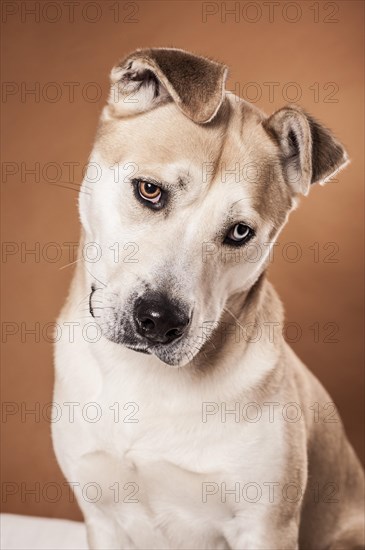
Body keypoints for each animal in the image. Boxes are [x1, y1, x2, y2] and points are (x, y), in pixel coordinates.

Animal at [52, 49, 364, 548]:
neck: (145, 380)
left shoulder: (265, 526)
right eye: (149, 190)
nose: (159, 320)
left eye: (240, 232)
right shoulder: (102, 517)